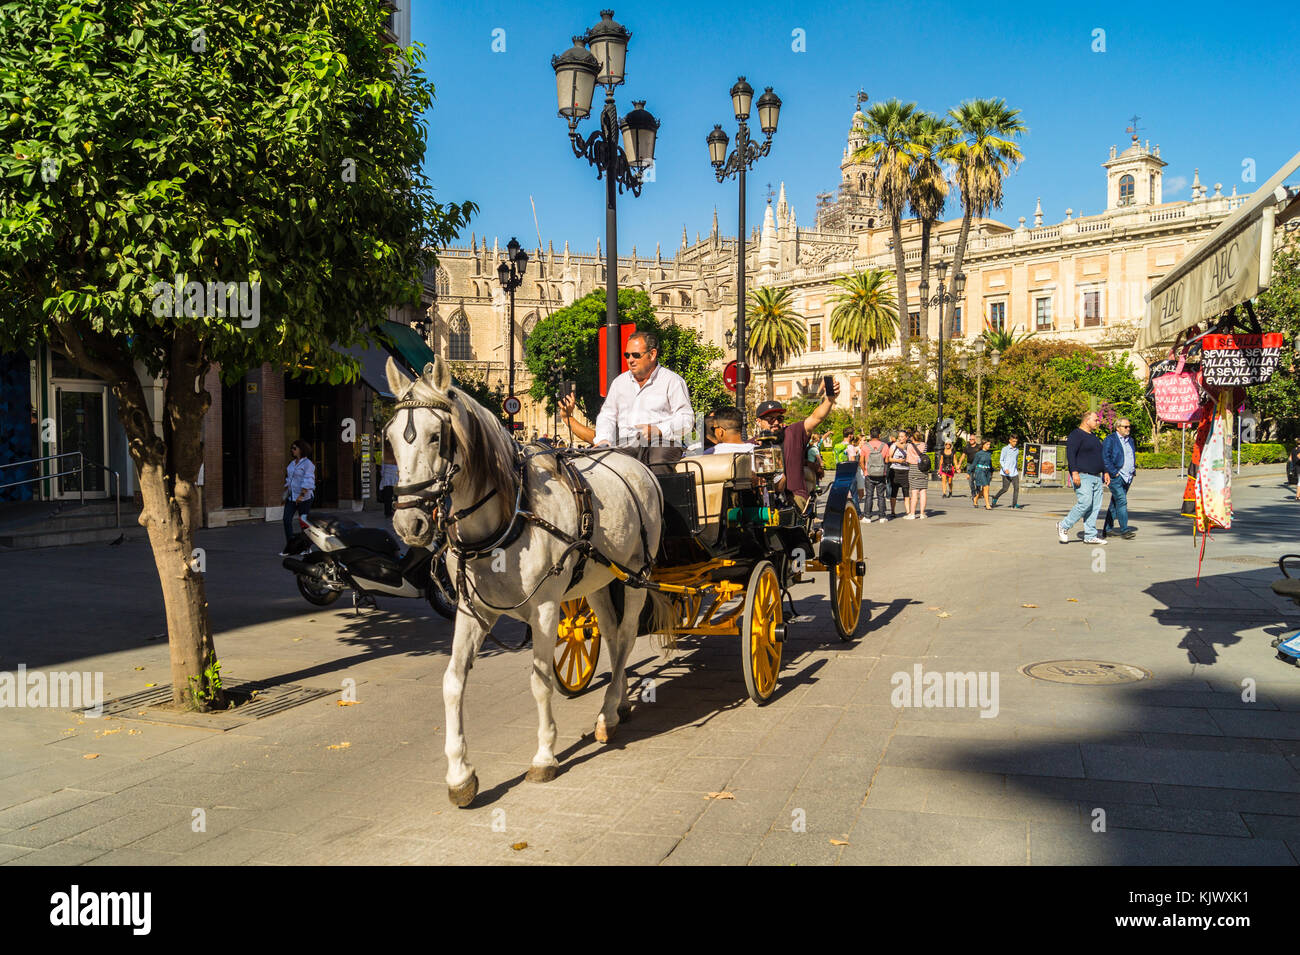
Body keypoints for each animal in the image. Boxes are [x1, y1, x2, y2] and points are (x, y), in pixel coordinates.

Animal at [382, 358, 670, 805]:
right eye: (391, 437)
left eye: (437, 436)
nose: (408, 524)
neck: (509, 516)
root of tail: (633, 461)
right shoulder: (473, 611)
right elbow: (452, 681)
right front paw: (459, 774)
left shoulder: (547, 607)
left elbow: (540, 680)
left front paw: (545, 756)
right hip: (597, 577)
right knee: (610, 632)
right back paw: (618, 701)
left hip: (638, 576)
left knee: (624, 635)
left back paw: (607, 713)